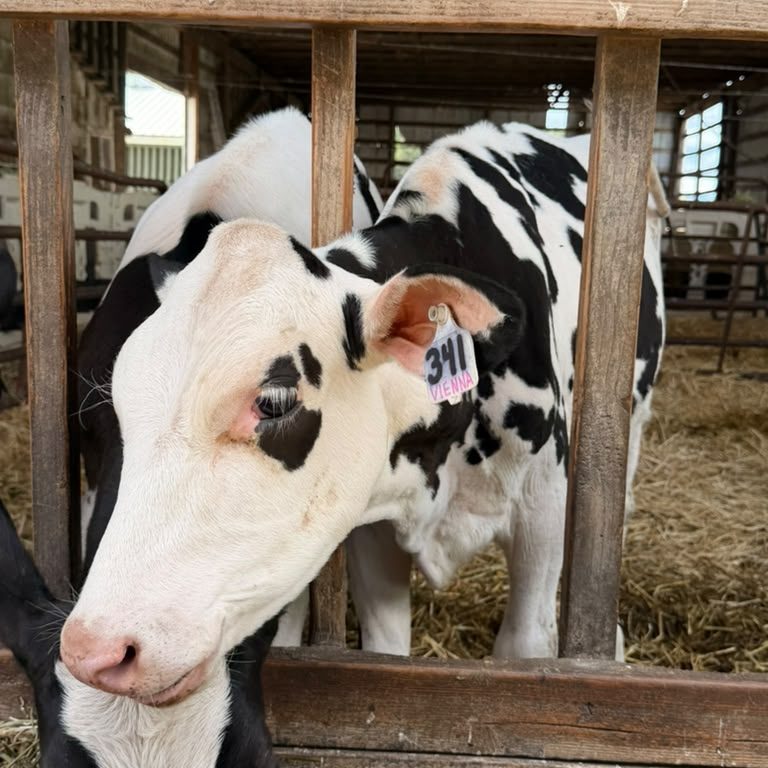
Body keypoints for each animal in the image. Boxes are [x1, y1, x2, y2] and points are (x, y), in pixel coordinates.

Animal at [60, 120, 665, 702]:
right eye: (112, 403)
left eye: (273, 403)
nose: (94, 648)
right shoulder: (372, 524)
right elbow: (386, 648)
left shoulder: (543, 504)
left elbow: (526, 647)